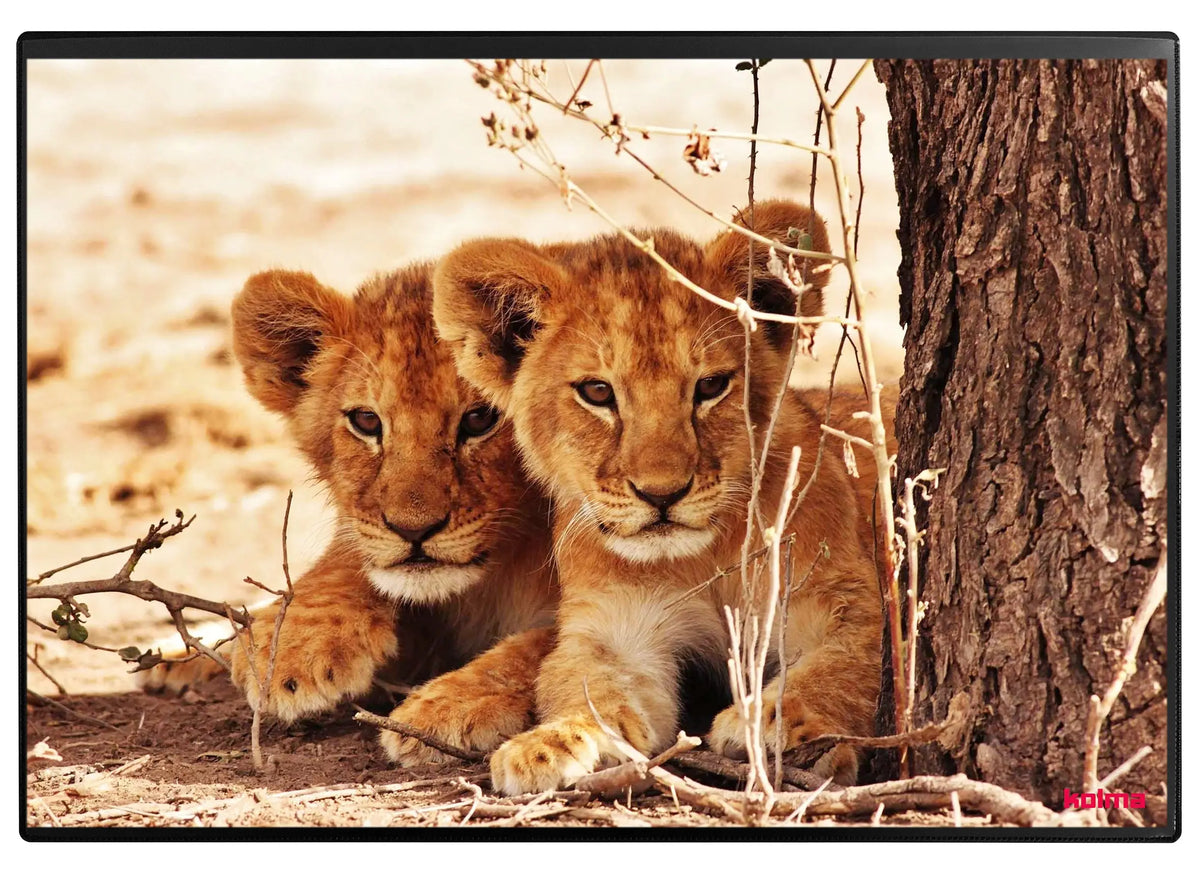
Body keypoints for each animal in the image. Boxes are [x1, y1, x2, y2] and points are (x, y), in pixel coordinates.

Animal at [145, 264, 558, 764]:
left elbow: (556, 640)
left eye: (481, 419)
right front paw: (292, 644)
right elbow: (346, 559)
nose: (413, 530)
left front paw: (449, 706)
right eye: (366, 422)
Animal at [432, 200, 886, 794]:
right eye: (597, 392)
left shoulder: (845, 600)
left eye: (710, 386)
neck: (703, 558)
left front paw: (770, 723)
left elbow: (840, 667)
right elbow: (590, 687)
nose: (662, 494)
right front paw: (552, 743)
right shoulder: (616, 629)